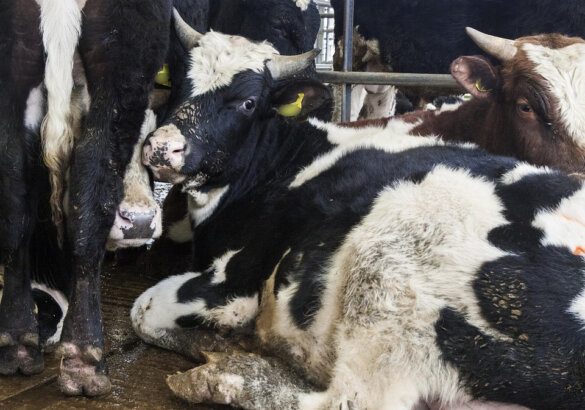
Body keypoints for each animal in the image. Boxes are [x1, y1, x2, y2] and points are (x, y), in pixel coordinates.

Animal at [132, 13, 585, 410]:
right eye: (179, 85)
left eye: (247, 102)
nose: (162, 147)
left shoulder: (233, 282)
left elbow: (144, 312)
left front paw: (215, 341)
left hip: (388, 290)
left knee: (345, 400)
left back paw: (228, 373)